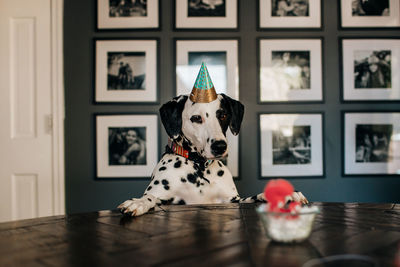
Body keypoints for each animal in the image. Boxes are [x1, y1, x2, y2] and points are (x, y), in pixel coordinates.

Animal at [117, 94, 308, 218]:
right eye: (196, 118)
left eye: (223, 115)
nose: (220, 146)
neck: (199, 168)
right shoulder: (164, 196)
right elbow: (151, 197)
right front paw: (139, 202)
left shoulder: (233, 200)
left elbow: (253, 197)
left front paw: (286, 195)